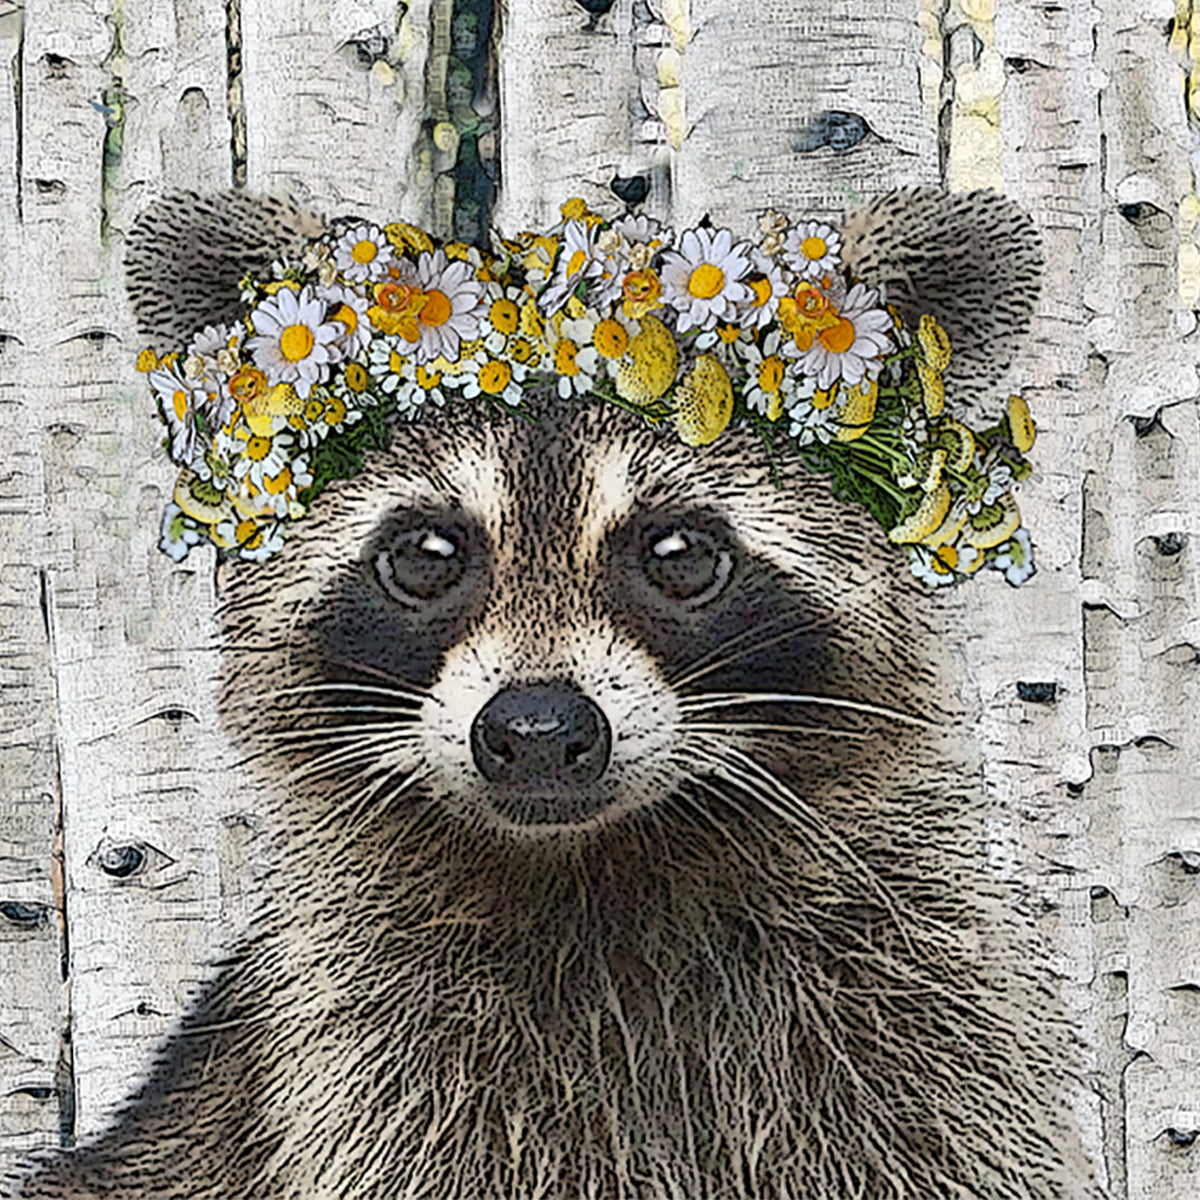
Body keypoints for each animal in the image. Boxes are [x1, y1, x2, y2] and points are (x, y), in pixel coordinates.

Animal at [3, 190, 1101, 1199]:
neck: (598, 867)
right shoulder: (379, 1076)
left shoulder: (924, 1026)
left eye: (679, 552)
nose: (536, 730)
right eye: (428, 553)